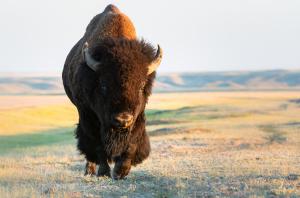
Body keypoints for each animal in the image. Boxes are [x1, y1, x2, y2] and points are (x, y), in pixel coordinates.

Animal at [61, 4, 163, 179]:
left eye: (141, 86)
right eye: (103, 85)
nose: (122, 119)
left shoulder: (138, 117)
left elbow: (132, 142)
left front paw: (121, 171)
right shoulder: (88, 115)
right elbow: (98, 145)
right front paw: (104, 172)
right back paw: (90, 171)